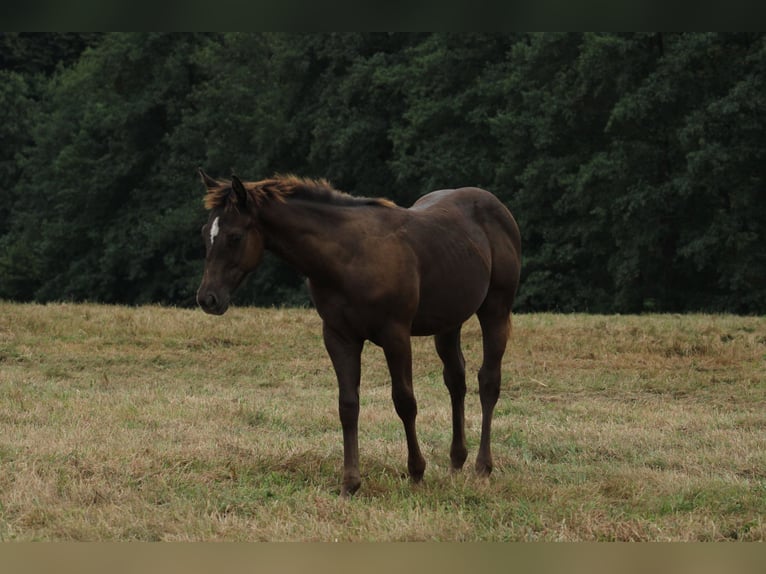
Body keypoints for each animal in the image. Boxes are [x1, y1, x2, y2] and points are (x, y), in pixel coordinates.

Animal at [195, 169, 524, 498]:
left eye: (234, 237)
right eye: (205, 233)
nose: (208, 299)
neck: (348, 257)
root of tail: (497, 207)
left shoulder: (395, 335)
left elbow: (404, 401)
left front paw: (416, 472)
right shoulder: (339, 337)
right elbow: (348, 405)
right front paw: (350, 484)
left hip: (495, 309)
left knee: (488, 381)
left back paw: (483, 467)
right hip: (448, 321)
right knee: (456, 380)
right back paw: (456, 462)